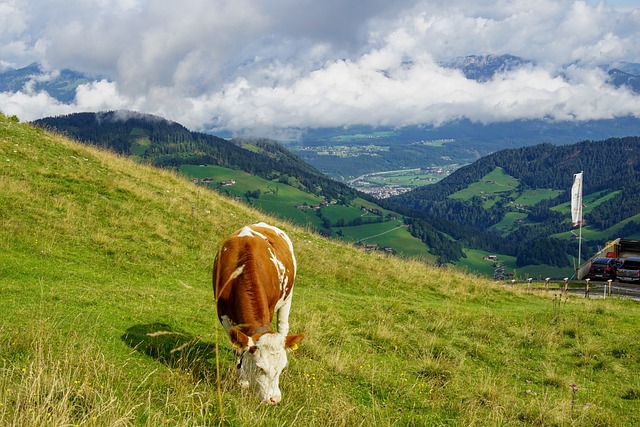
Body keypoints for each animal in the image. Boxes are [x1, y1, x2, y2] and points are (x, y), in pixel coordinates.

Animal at [212, 222, 304, 406]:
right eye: (259, 367)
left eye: (281, 368)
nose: (274, 399)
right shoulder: (223, 315)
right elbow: (238, 349)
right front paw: (242, 381)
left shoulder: (270, 308)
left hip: (288, 297)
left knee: (283, 326)